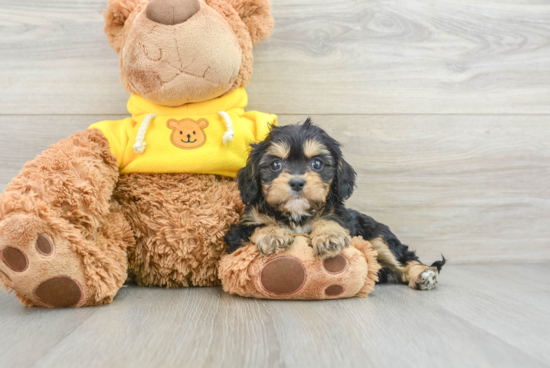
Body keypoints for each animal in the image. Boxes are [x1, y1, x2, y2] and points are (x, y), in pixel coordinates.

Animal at [226, 120, 446, 290]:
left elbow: (330, 219)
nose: (297, 182)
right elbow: (258, 225)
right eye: (275, 165)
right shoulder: (238, 230)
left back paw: (423, 274)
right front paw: (273, 235)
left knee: (402, 259)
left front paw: (329, 236)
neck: (297, 215)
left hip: (377, 236)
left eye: (317, 164)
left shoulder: (343, 217)